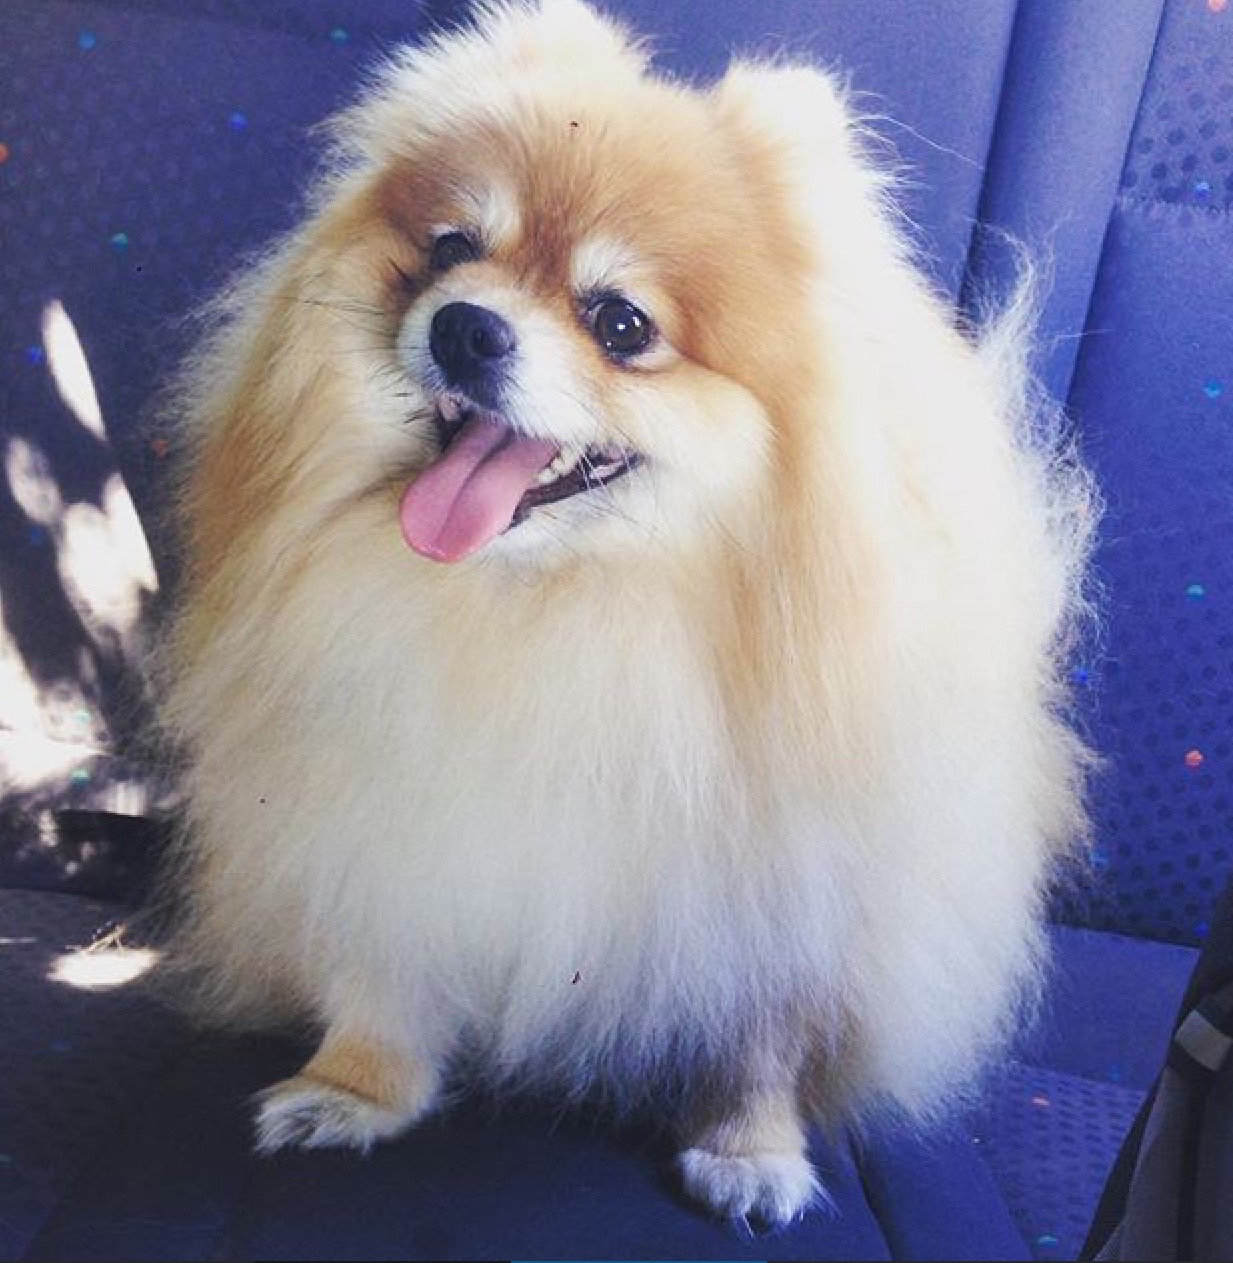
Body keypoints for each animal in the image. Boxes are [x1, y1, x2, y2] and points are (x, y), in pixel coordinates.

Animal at [158, 0, 1096, 1225]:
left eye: (619, 323)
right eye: (452, 250)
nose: (465, 327)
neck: (555, 615)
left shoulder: (789, 876)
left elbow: (763, 1028)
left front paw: (751, 1150)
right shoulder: (380, 810)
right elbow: (385, 960)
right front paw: (357, 1087)